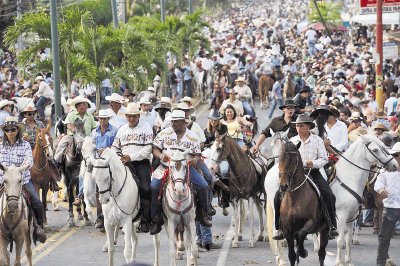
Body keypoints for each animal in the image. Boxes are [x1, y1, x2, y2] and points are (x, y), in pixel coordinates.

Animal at [330, 135, 398, 266]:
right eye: (375, 150)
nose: (394, 165)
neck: (347, 180)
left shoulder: (352, 215)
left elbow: (348, 238)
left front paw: (348, 261)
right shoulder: (341, 216)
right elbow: (340, 240)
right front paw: (339, 262)